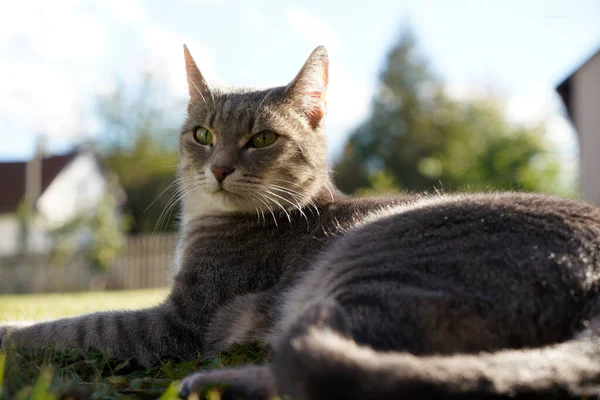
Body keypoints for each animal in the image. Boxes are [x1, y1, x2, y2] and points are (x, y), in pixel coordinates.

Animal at [1, 45, 600, 398]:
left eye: (262, 138)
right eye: (202, 135)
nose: (219, 168)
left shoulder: (179, 321)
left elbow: (76, 325)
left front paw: (11, 330)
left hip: (365, 269)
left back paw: (209, 382)